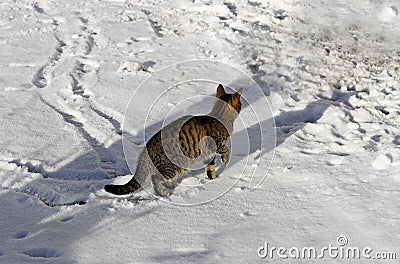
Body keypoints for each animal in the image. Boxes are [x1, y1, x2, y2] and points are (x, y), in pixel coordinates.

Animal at [104, 84, 242, 196]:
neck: (219, 114)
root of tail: (145, 150)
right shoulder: (216, 144)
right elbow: (226, 149)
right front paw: (225, 160)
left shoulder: (209, 155)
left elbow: (210, 168)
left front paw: (213, 180)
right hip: (175, 165)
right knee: (156, 178)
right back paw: (163, 192)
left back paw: (170, 185)